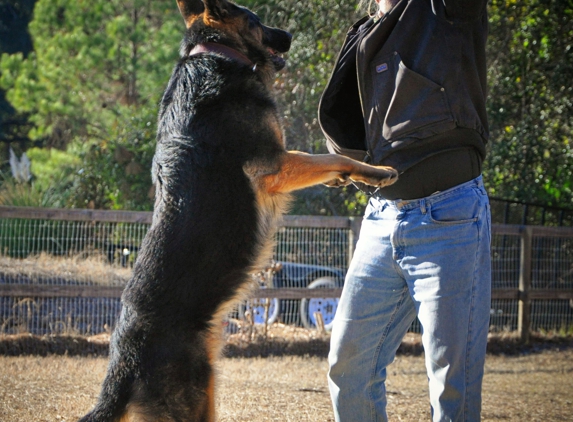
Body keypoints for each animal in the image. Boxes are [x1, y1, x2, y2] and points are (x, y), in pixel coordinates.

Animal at [78, 0, 396, 422]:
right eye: (256, 20)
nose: (289, 36)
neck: (214, 53)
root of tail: (122, 361)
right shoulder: (276, 165)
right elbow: (333, 156)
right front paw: (379, 171)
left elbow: (332, 162)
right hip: (192, 402)